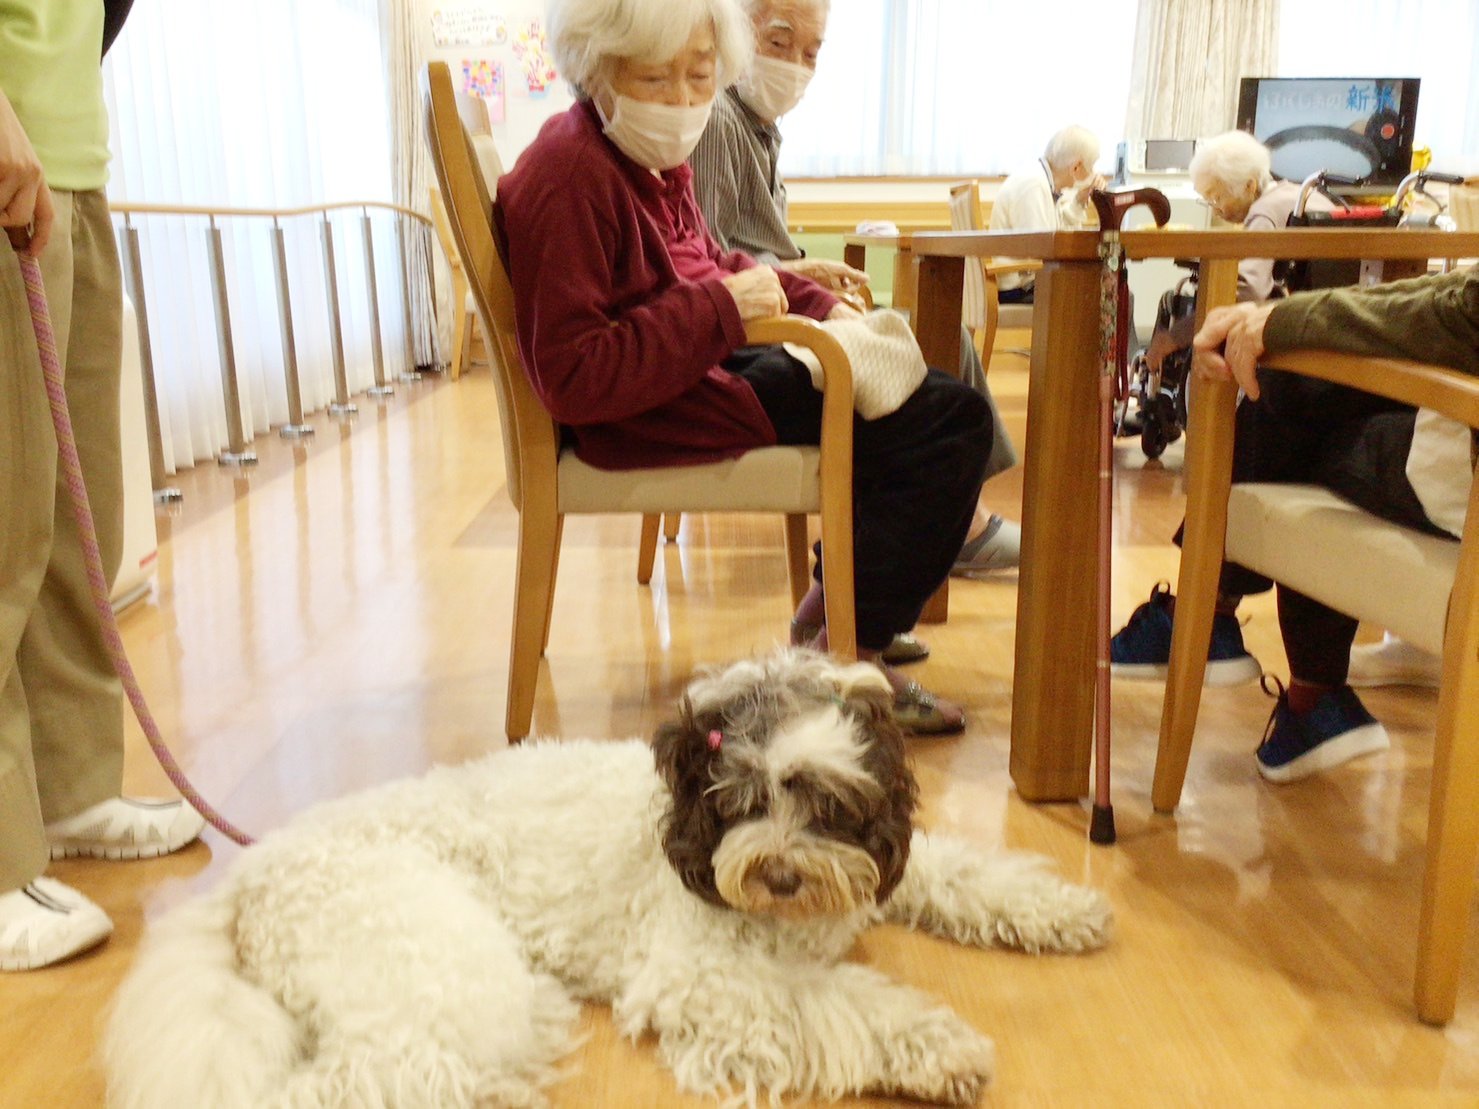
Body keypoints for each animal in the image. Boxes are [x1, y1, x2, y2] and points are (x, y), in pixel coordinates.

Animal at [104, 650, 1112, 1109]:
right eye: (740, 797)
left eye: (825, 801)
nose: (780, 873)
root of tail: (256, 870)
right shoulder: (707, 975)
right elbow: (850, 1003)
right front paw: (943, 1046)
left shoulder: (882, 869)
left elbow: (967, 873)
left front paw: (1064, 908)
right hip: (446, 974)